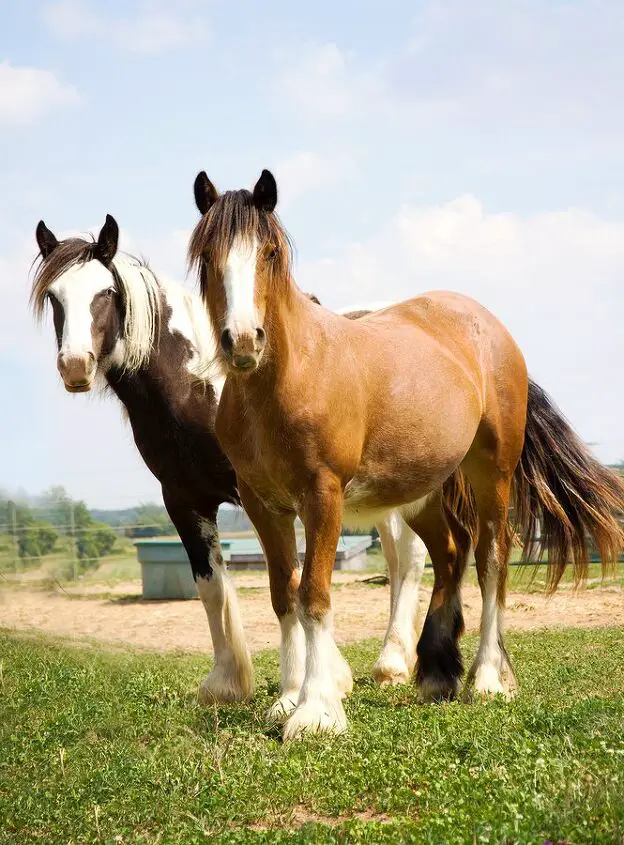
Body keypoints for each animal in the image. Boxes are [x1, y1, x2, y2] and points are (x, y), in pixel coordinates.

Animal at [29, 216, 436, 704]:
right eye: (54, 297)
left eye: (105, 293)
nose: (75, 365)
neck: (198, 383)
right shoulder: (183, 499)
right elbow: (212, 588)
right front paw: (227, 681)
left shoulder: (267, 494)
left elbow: (293, 581)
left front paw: (316, 683)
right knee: (395, 559)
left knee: (408, 559)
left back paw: (391, 663)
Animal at [189, 170, 624, 740]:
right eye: (208, 256)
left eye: (268, 252)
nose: (243, 340)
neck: (287, 378)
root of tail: (489, 327)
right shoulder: (264, 505)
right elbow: (284, 596)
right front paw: (286, 698)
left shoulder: (322, 496)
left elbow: (314, 596)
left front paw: (316, 710)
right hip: (423, 491)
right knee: (451, 553)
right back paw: (437, 672)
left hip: (492, 473)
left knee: (490, 558)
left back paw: (487, 678)